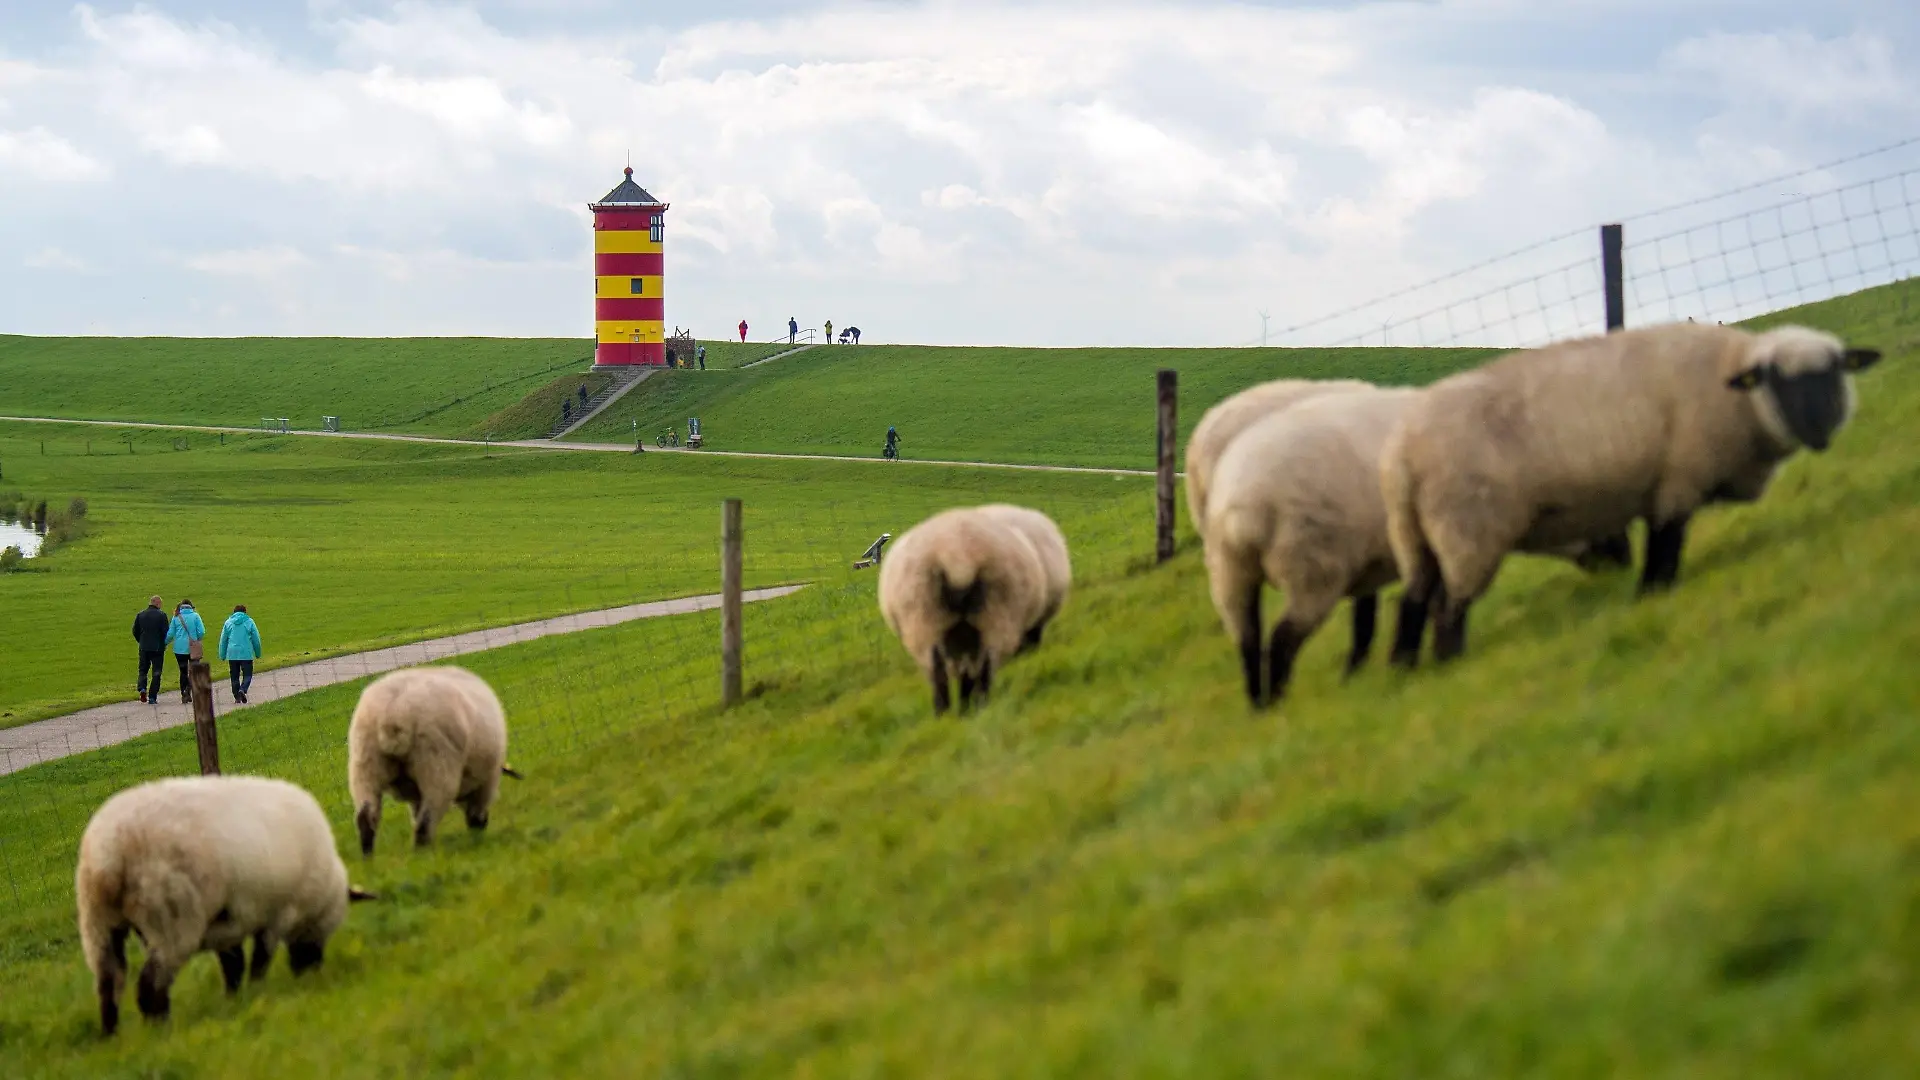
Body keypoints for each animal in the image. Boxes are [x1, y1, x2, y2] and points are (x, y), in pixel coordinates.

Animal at [75, 775, 374, 1035]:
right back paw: (160, 1028)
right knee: (150, 983)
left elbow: (234, 963)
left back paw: (112, 1035)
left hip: (98, 923)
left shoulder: (231, 923)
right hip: (171, 919)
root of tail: (109, 856)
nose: (310, 972)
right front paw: (257, 989)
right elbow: (260, 958)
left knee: (108, 981)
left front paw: (234, 997)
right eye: (323, 932)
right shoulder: (277, 915)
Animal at [347, 665, 521, 856]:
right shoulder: (486, 781)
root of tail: (393, 716)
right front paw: (477, 834)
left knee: (366, 817)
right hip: (437, 765)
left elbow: (416, 813)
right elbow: (475, 811)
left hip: (365, 765)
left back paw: (369, 859)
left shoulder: (416, 796)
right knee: (426, 822)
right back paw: (423, 855)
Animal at [878, 505, 1054, 714]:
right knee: (979, 666)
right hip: (990, 615)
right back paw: (971, 707)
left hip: (927, 620)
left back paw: (951, 712)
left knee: (944, 671)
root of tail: (957, 555)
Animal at [1206, 387, 1634, 705]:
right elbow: (1432, 601)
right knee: (1282, 640)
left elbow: (1378, 617)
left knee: (1246, 640)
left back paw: (1260, 707)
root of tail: (1240, 507)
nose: (1625, 566)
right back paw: (1280, 702)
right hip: (1312, 566)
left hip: (1230, 573)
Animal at [1381, 321, 1882, 666]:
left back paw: (1405, 671)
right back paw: (1450, 662)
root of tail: (1402, 455)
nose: (1819, 430)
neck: (1732, 383)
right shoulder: (1679, 478)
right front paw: (1653, 594)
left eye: (1835, 374)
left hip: (1417, 537)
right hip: (1468, 530)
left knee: (1414, 600)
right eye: (1776, 379)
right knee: (1447, 607)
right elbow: (1665, 542)